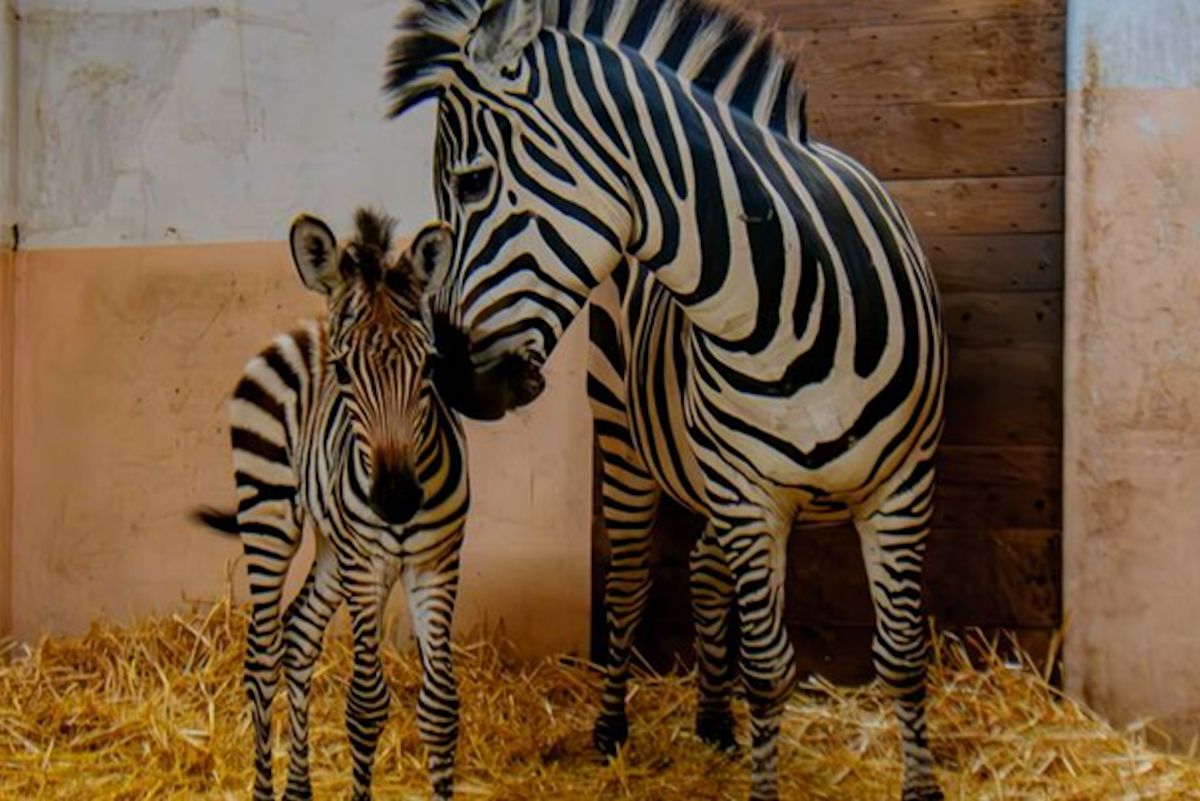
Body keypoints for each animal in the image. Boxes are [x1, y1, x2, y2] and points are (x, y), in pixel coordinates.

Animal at [194, 211, 465, 801]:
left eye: (430, 366)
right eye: (343, 373)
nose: (397, 499)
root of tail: (306, 328)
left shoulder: (436, 563)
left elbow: (440, 709)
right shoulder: (366, 564)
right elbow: (365, 705)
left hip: (331, 546)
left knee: (298, 634)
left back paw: (298, 788)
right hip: (269, 515)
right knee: (261, 656)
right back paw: (264, 789)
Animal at [384, 3, 945, 796]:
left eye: (471, 184)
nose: (456, 382)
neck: (776, 299)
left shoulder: (904, 485)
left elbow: (900, 657)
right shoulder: (748, 494)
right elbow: (769, 670)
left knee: (705, 568)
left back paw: (713, 719)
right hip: (627, 444)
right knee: (627, 586)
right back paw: (613, 727)